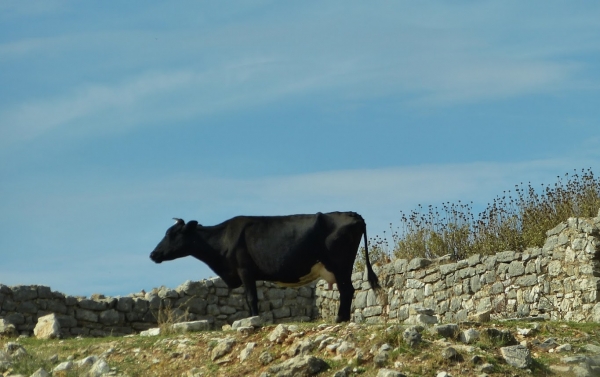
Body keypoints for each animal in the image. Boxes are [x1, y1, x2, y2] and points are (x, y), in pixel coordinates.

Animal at [149, 210, 380, 322]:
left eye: (172, 234)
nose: (153, 254)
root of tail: (352, 214)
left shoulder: (245, 270)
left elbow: (251, 298)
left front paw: (253, 319)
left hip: (340, 265)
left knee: (347, 290)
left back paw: (340, 318)